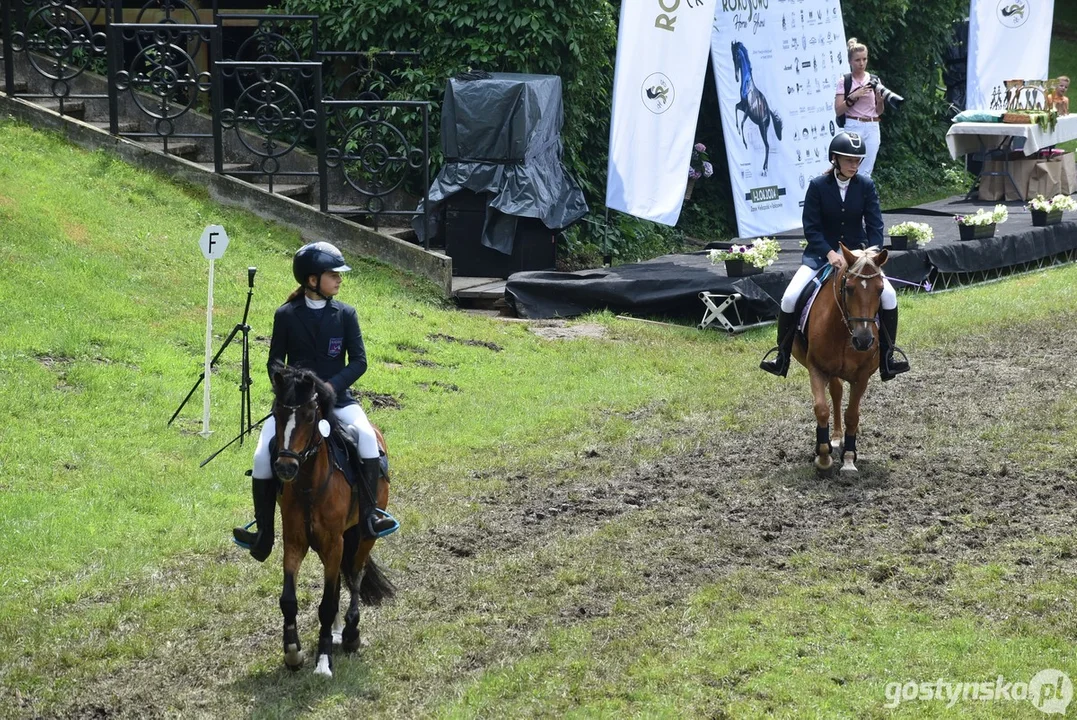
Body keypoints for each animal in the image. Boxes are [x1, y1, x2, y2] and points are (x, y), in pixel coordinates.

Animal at [269, 365, 396, 675]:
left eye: (309, 415)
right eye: (277, 413)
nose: (285, 467)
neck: (309, 485)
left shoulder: (334, 543)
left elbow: (327, 604)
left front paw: (323, 660)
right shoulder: (295, 541)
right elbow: (288, 600)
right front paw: (293, 652)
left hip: (363, 535)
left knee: (356, 575)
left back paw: (350, 634)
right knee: (339, 578)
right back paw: (338, 632)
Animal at [792, 244, 891, 471]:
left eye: (880, 289)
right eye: (849, 288)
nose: (863, 341)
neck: (845, 332)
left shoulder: (862, 376)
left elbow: (852, 415)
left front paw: (848, 458)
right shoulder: (816, 368)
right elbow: (821, 409)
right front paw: (823, 456)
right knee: (836, 394)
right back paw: (835, 438)